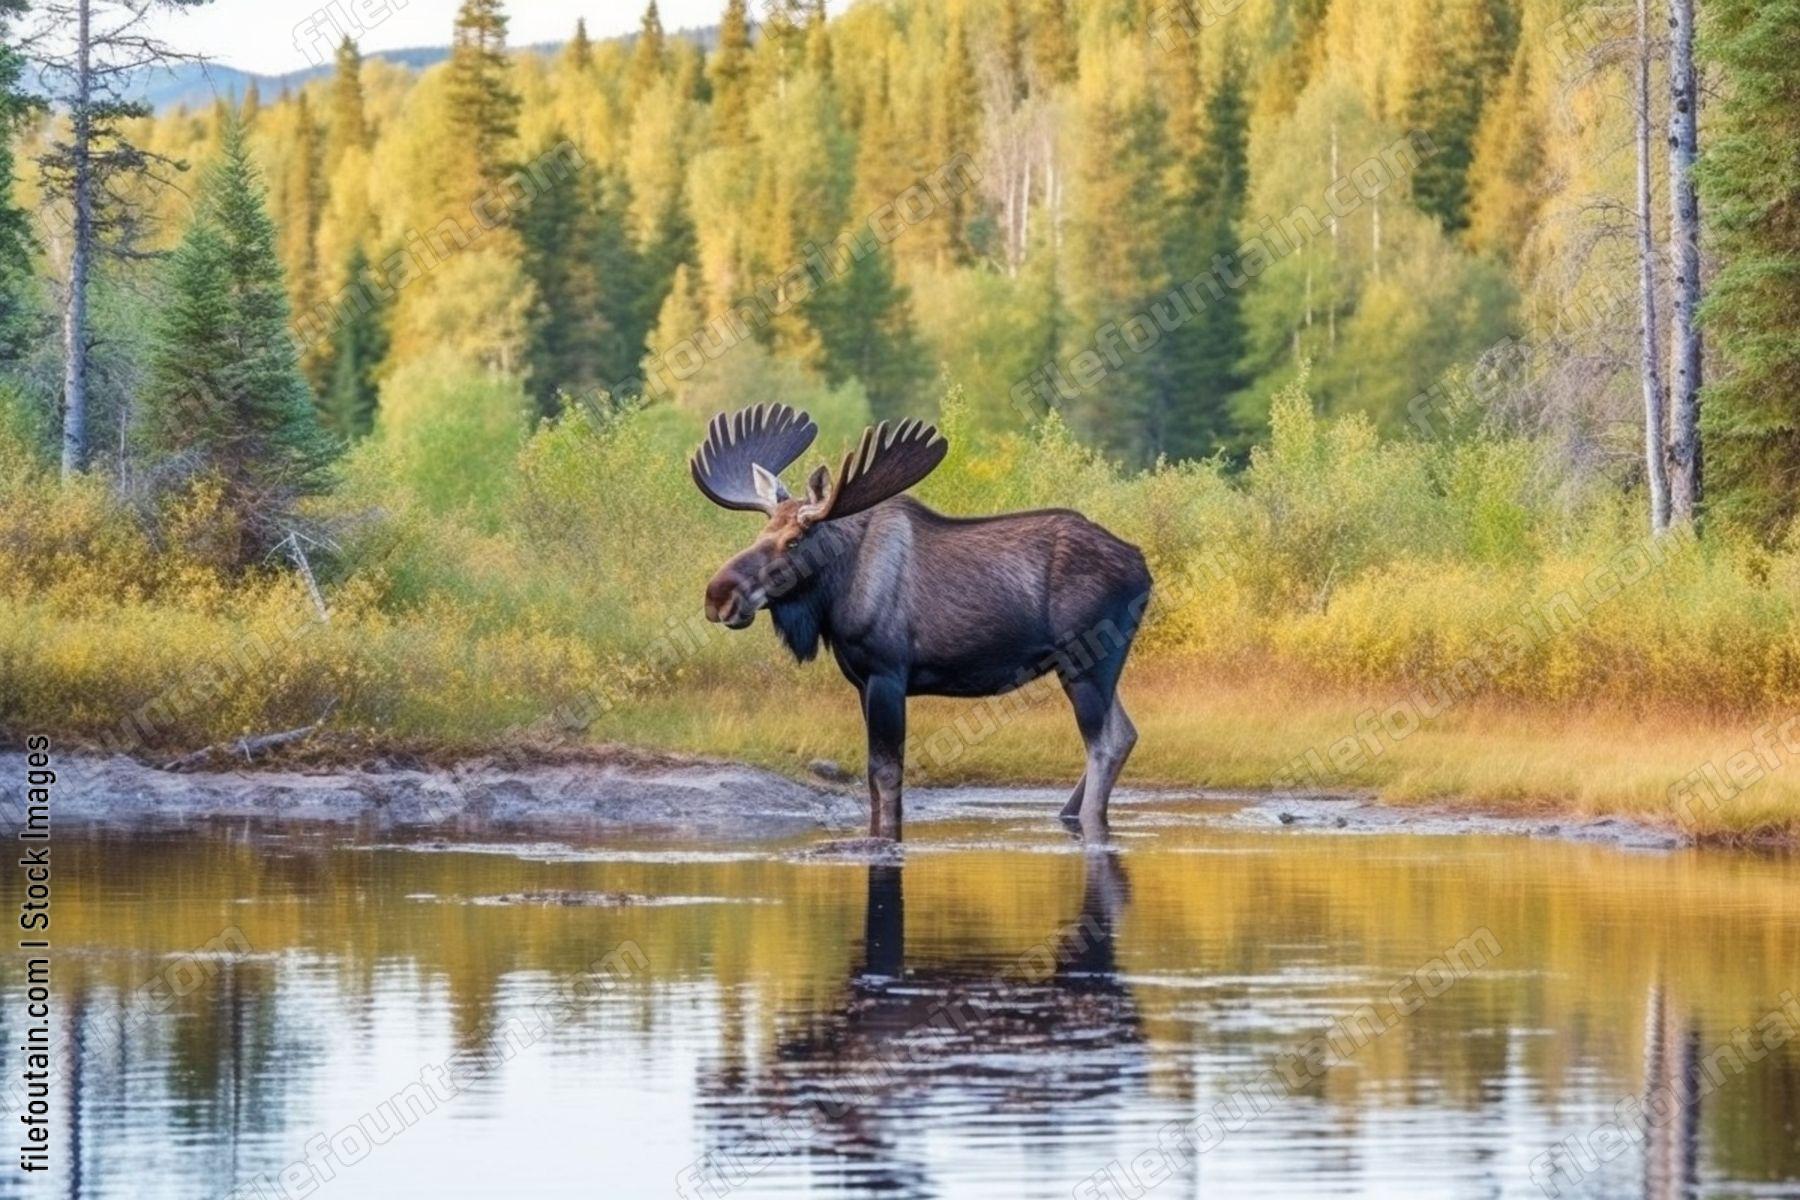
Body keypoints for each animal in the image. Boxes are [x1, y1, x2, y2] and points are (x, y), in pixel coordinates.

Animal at [693, 404, 1152, 842]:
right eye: (760, 534)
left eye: (793, 541)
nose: (718, 596)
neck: (836, 592)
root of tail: (1143, 568)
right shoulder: (861, 681)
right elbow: (872, 777)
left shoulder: (888, 673)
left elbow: (886, 773)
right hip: (1091, 665)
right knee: (1127, 733)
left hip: (1086, 661)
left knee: (1105, 743)